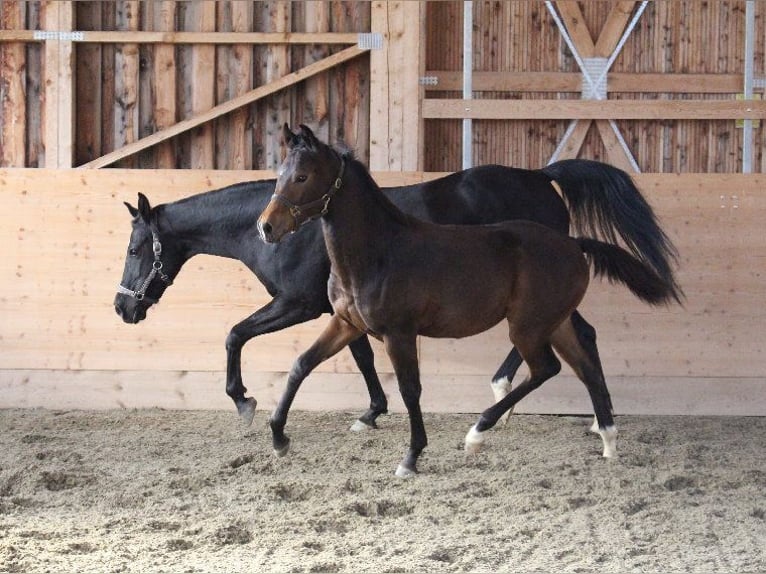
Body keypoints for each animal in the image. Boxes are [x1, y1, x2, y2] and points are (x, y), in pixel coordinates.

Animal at [115, 144, 680, 436]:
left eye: (137, 248)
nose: (123, 307)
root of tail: (542, 176)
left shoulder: (297, 304)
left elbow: (234, 334)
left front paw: (243, 400)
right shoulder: (343, 311)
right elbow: (363, 358)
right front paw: (372, 412)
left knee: (557, 339)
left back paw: (510, 396)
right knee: (578, 334)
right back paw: (589, 418)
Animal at [257, 124, 681, 477]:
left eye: (302, 176)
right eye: (279, 175)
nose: (267, 227)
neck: (378, 251)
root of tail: (575, 243)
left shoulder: (399, 333)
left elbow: (410, 389)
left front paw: (411, 457)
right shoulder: (346, 323)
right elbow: (301, 365)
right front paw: (278, 438)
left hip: (528, 326)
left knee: (546, 368)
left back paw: (478, 431)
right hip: (555, 323)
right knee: (583, 365)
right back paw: (607, 438)